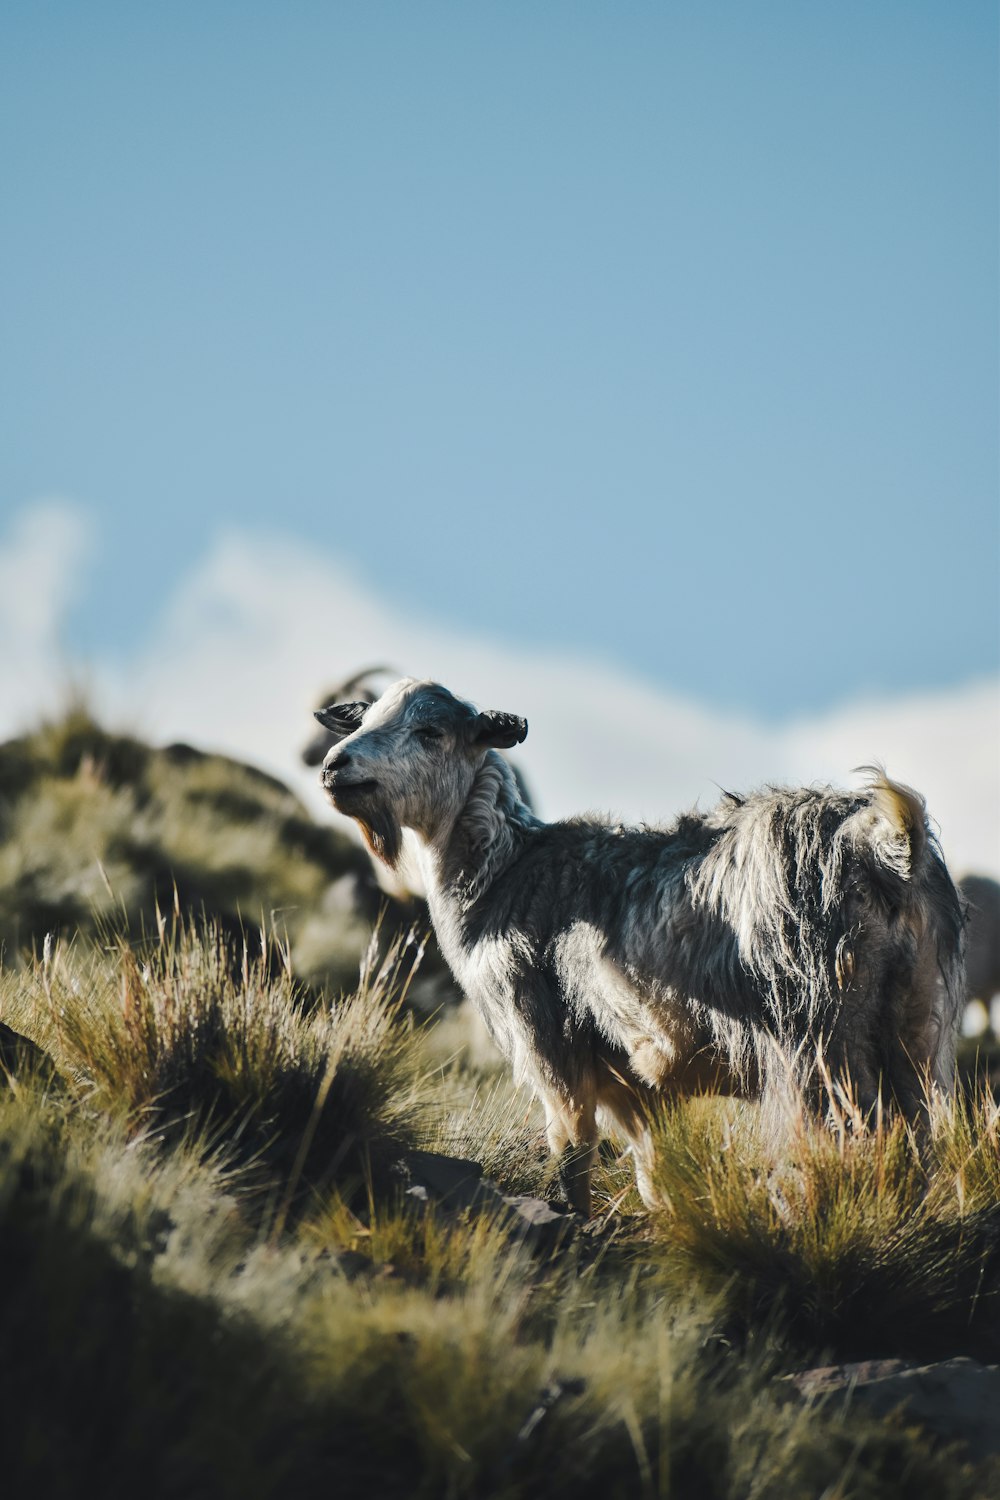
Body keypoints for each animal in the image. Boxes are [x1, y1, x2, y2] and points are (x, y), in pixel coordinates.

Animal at [316, 678, 965, 1206]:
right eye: (364, 719)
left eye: (431, 730)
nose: (334, 767)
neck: (504, 872)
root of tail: (887, 845)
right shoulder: (640, 1090)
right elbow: (656, 1183)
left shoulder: (550, 1047)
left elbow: (571, 1160)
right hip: (912, 1029)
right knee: (916, 1147)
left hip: (820, 1038)